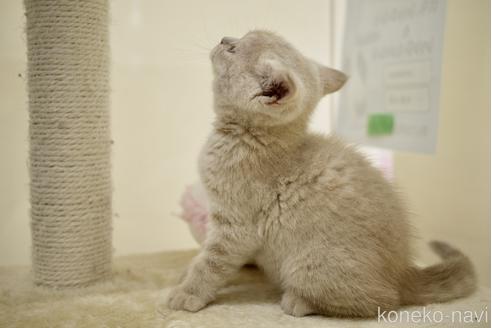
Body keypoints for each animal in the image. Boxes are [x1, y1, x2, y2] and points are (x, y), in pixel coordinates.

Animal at [166, 30, 476, 318]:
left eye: (234, 49)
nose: (224, 39)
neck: (249, 138)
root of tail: (403, 273)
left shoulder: (235, 227)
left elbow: (211, 263)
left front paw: (187, 293)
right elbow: (202, 258)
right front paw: (185, 275)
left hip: (310, 265)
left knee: (381, 302)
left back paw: (299, 301)